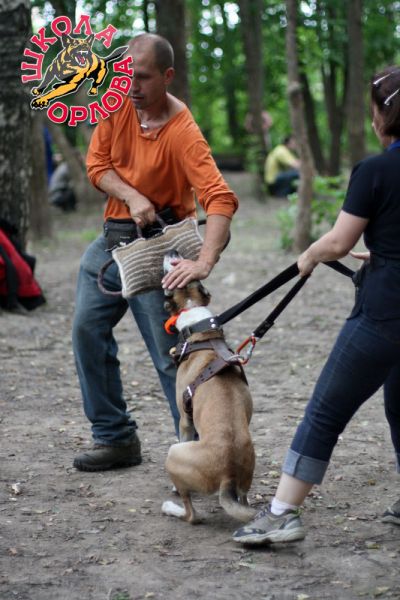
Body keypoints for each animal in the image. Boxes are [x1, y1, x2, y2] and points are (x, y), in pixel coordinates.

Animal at [161, 251, 255, 524]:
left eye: (172, 268)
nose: (173, 252)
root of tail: (228, 474)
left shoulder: (185, 419)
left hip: (174, 453)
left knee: (192, 515)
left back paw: (171, 507)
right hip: (244, 485)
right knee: (243, 501)